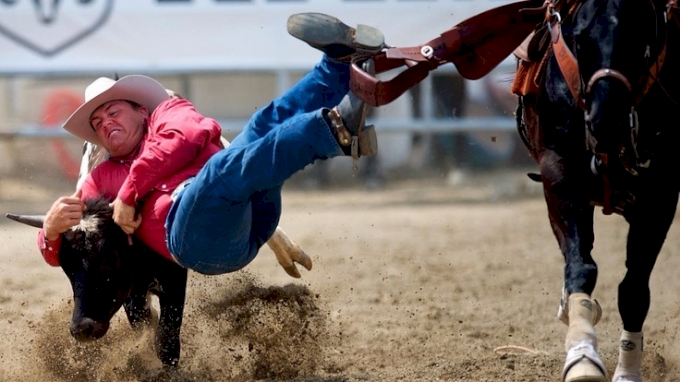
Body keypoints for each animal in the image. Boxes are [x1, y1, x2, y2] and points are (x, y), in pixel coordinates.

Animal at [516, 0, 680, 382]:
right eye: (579, 39)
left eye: (640, 36)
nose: (607, 120)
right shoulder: (559, 177)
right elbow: (582, 267)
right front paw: (582, 357)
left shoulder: (662, 194)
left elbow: (633, 289)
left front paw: (628, 370)